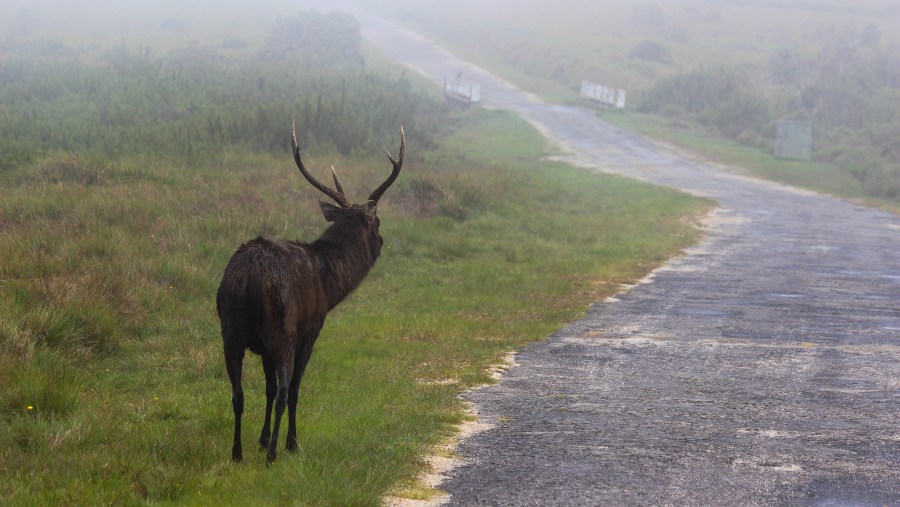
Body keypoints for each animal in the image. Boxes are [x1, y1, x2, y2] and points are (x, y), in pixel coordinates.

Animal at [215, 122, 404, 464]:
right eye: (378, 223)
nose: (381, 243)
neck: (329, 286)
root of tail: (249, 279)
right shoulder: (311, 329)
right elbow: (292, 390)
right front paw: (289, 442)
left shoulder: (262, 347)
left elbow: (267, 389)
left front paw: (261, 438)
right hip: (282, 329)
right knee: (285, 391)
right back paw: (273, 455)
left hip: (230, 330)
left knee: (238, 393)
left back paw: (237, 452)